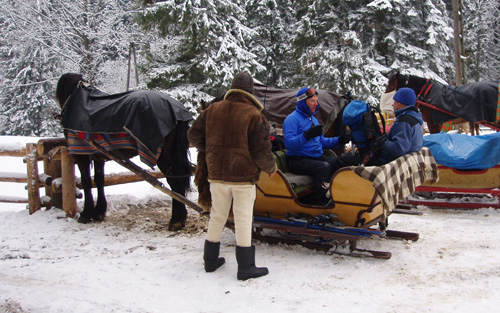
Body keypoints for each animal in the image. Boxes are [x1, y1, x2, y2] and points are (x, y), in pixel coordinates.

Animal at [55, 72, 193, 229]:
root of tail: (175, 111)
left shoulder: (81, 154)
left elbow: (86, 181)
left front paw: (86, 213)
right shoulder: (99, 156)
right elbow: (99, 179)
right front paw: (99, 212)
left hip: (163, 156)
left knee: (174, 181)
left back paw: (175, 219)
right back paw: (180, 218)